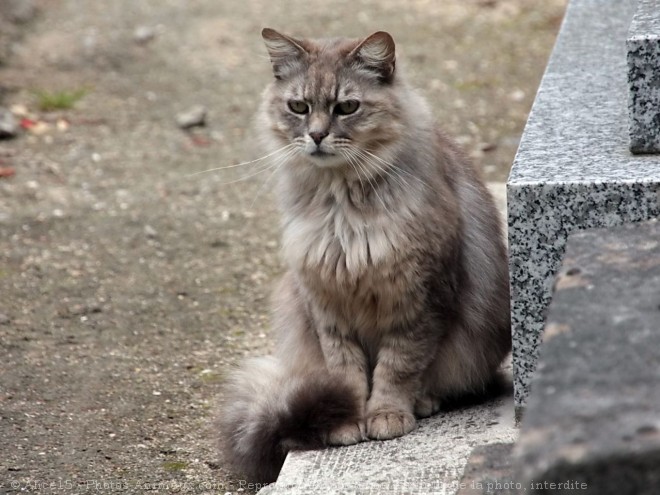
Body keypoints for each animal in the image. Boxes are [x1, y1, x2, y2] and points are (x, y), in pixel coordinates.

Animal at [217, 28, 510, 484]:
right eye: (298, 107)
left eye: (347, 107)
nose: (317, 136)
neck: (342, 210)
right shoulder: (326, 304)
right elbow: (346, 374)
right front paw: (346, 421)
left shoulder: (420, 299)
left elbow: (398, 366)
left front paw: (386, 414)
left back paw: (422, 402)